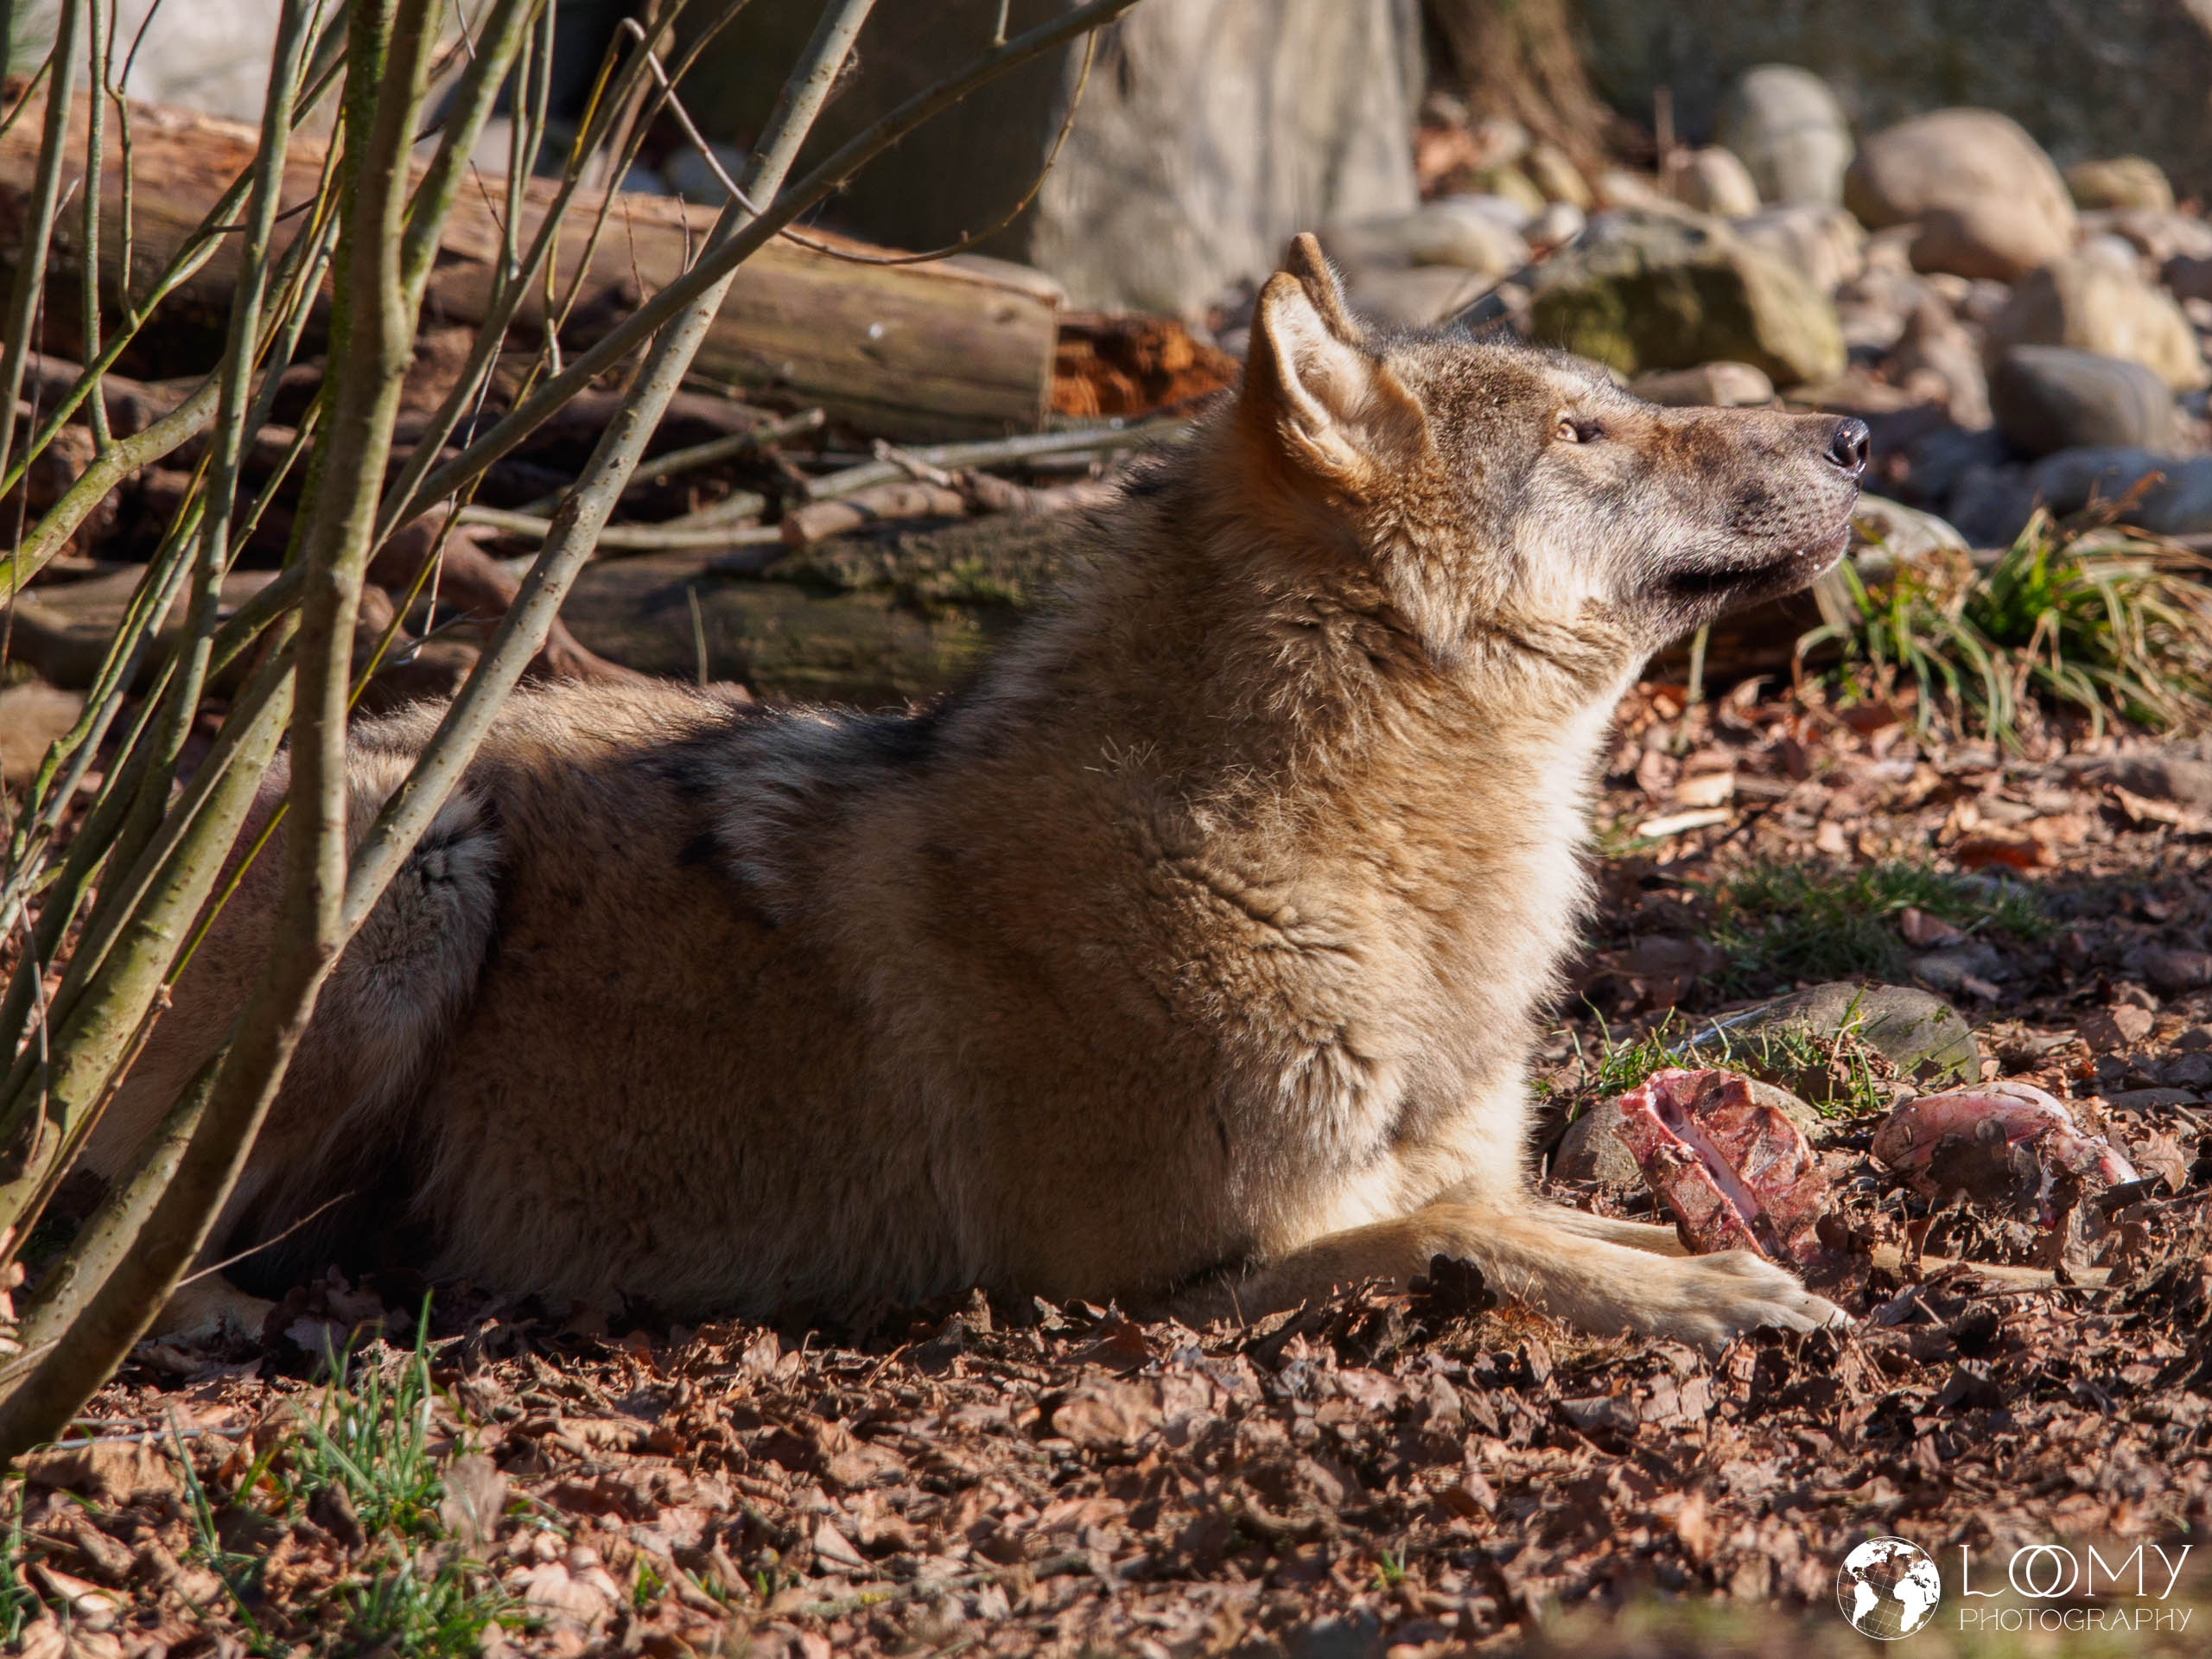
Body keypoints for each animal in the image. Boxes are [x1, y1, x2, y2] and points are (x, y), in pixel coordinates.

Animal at [86, 237, 1866, 1348]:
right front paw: (1715, 1300)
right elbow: (1461, 1239)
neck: (1347, 857)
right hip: (421, 878)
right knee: (112, 1229)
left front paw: (1717, 1260)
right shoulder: (1128, 1270)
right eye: (1588, 433)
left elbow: (1546, 1217)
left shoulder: (1436, 1163)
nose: (1855, 437)